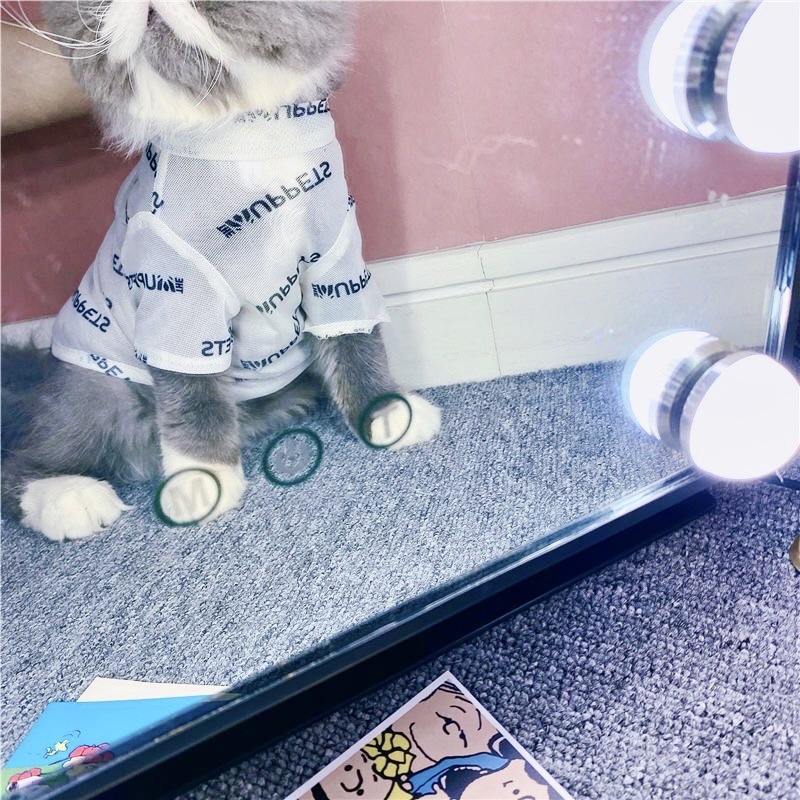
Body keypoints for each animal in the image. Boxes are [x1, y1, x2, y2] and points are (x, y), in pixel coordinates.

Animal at [1, 0, 441, 542]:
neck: (241, 140)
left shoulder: (336, 265)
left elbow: (357, 348)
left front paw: (387, 413)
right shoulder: (179, 294)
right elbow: (194, 397)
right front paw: (202, 479)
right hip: (101, 390)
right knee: (21, 462)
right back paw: (69, 496)